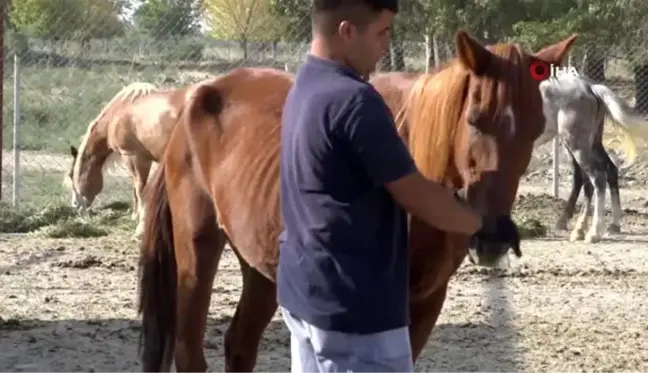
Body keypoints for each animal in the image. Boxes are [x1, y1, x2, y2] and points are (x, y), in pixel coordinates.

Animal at [68, 82, 194, 235]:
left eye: (72, 176)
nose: (75, 205)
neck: (118, 114)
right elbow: (135, 188)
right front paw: (135, 216)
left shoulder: (135, 157)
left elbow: (140, 190)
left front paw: (141, 227)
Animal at [138, 30, 576, 370]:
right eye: (474, 120)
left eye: (538, 128)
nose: (493, 238)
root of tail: (197, 98)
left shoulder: (425, 304)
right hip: (198, 250)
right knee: (189, 351)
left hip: (260, 266)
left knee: (240, 346)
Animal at [532, 74, 648, 243]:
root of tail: (591, 88)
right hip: (592, 144)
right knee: (607, 170)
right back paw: (610, 226)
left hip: (576, 146)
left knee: (596, 178)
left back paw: (592, 233)